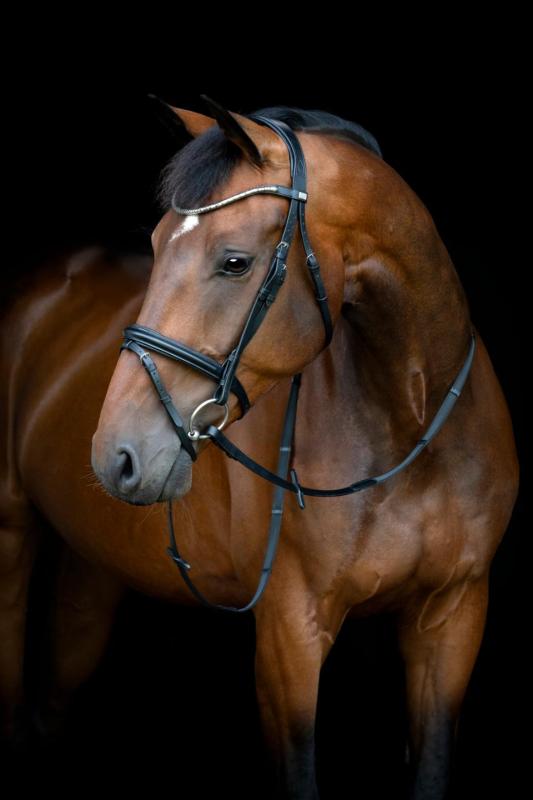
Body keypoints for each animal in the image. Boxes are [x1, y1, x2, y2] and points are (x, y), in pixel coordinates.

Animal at [1, 99, 519, 799]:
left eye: (235, 262)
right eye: (156, 245)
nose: (117, 455)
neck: (410, 433)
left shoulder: (453, 619)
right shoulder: (288, 635)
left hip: (94, 565)